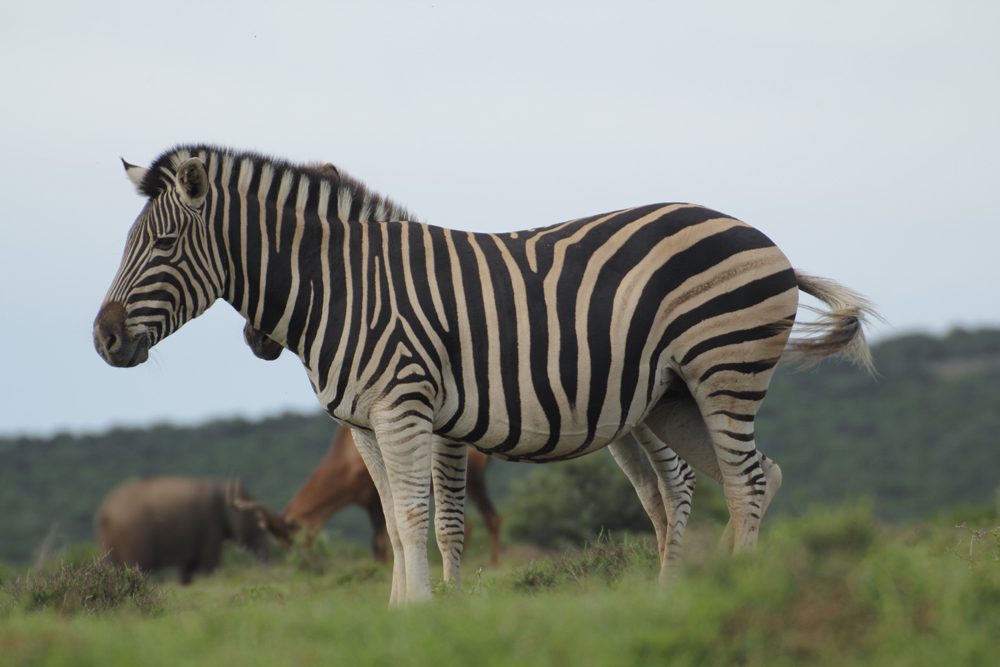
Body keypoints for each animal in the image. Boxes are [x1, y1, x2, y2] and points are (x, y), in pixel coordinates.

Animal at [94, 144, 876, 603]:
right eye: (129, 243)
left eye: (164, 244)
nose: (103, 338)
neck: (344, 285)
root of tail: (762, 238)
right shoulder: (367, 424)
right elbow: (411, 524)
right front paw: (403, 616)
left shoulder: (405, 406)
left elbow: (416, 518)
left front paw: (419, 615)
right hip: (671, 401)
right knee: (742, 478)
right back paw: (693, 589)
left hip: (723, 370)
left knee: (742, 481)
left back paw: (735, 590)